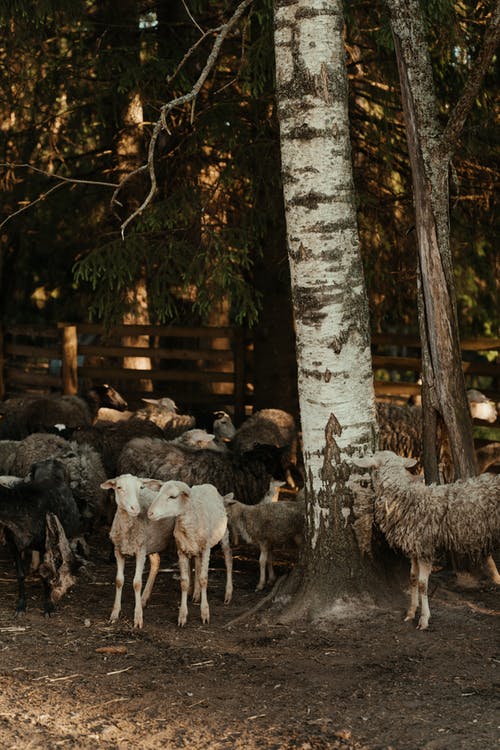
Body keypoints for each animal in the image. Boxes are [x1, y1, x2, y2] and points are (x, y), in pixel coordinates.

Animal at [0, 458, 81, 616]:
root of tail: (52, 460)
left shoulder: (45, 543)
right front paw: (21, 606)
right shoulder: (13, 544)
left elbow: (45, 576)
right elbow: (20, 574)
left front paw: (48, 606)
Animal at [100, 476, 175, 628]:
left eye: (140, 487)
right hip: (151, 543)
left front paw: (138, 618)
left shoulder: (140, 552)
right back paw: (144, 599)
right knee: (156, 562)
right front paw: (114, 614)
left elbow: (137, 583)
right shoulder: (118, 551)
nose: (135, 508)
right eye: (119, 487)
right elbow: (119, 580)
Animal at [146, 482, 233, 628]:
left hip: (224, 534)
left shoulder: (206, 549)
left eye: (173, 497)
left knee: (228, 560)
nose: (150, 513)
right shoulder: (181, 551)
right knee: (196, 566)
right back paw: (195, 594)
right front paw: (182, 616)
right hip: (194, 549)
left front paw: (205, 613)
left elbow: (204, 579)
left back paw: (228, 593)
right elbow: (184, 582)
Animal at [352, 452, 500, 636]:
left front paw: (424, 619)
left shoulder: (425, 548)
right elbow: (412, 578)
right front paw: (411, 612)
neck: (404, 499)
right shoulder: (414, 548)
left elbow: (423, 584)